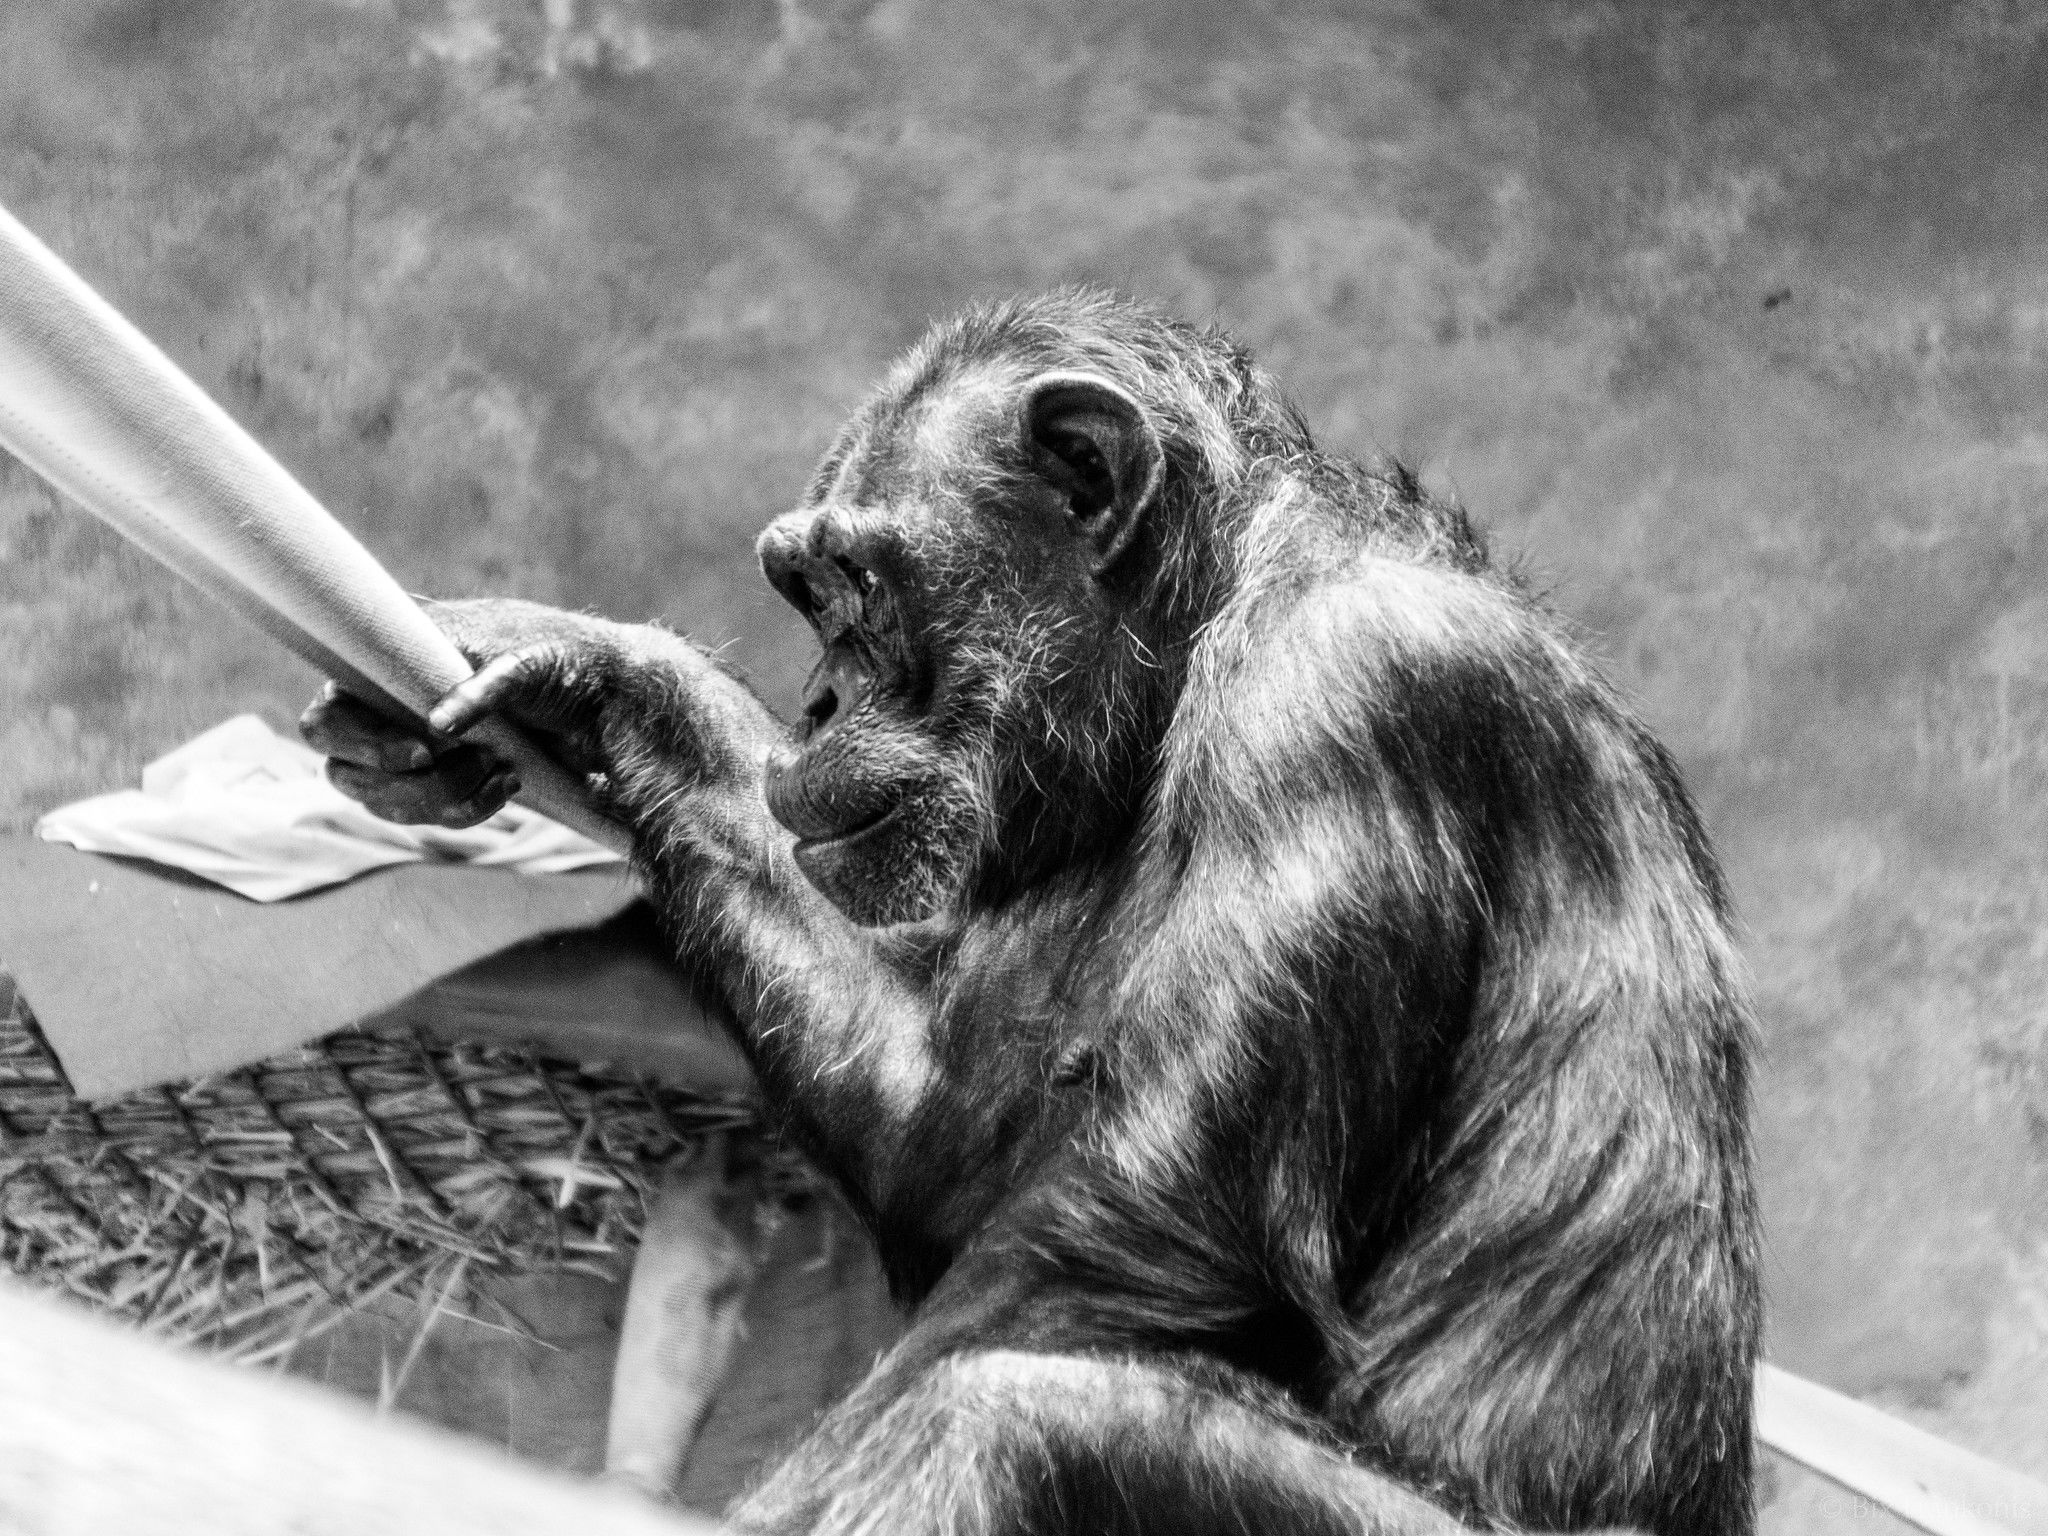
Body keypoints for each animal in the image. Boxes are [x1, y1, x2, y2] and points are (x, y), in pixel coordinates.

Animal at [299, 290, 1761, 1536]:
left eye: (855, 586)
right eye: (803, 593)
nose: (818, 701)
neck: (1210, 617)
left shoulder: (1356, 699)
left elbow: (1145, 1225)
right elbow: (939, 1142)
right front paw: (605, 678)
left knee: (1017, 1420)